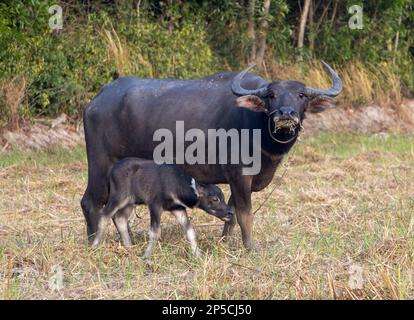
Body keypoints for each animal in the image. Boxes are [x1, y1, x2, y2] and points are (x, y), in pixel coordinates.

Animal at [81, 60, 342, 250]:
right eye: (271, 95)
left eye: (301, 95)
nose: (285, 114)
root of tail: (97, 99)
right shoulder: (239, 175)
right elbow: (244, 214)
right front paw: (251, 247)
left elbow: (232, 214)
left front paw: (225, 242)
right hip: (101, 165)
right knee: (91, 202)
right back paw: (94, 242)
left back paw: (130, 242)